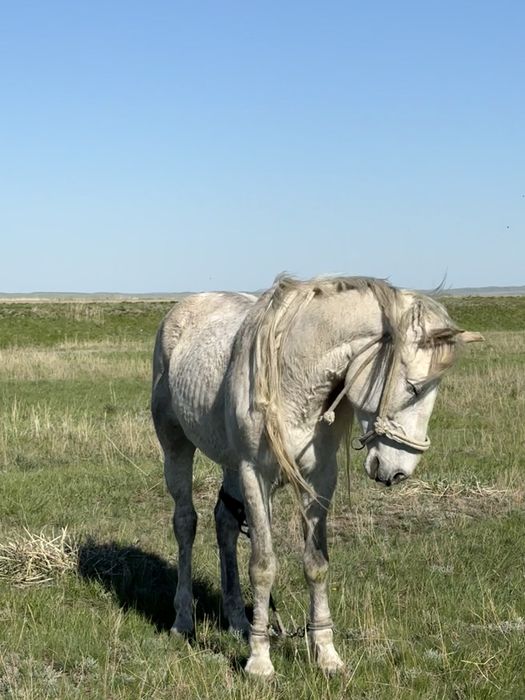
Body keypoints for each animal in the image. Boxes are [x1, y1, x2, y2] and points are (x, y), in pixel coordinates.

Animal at [151, 275, 482, 677]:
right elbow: (263, 565)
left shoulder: (320, 479)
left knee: (225, 524)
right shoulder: (255, 475)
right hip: (177, 447)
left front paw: (325, 652)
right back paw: (183, 620)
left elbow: (317, 564)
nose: (399, 471)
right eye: (414, 387)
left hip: (230, 464)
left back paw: (238, 622)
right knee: (185, 523)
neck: (293, 374)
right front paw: (259, 661)